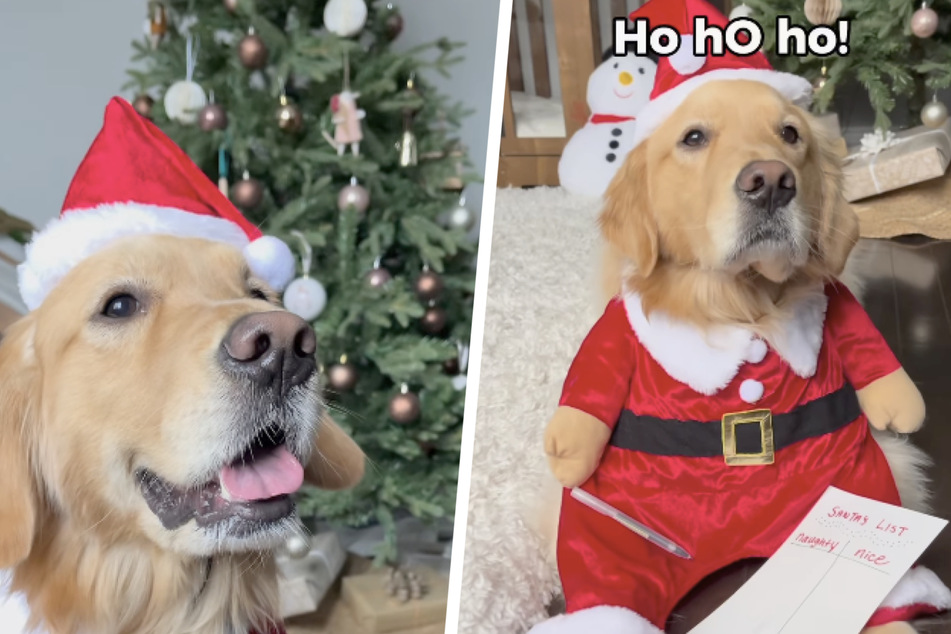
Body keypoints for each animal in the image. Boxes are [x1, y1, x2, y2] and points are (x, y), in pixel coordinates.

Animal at [544, 1, 951, 632]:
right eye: (693, 137)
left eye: (790, 134)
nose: (771, 183)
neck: (742, 304)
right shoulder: (615, 335)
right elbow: (591, 382)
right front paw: (566, 447)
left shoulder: (839, 312)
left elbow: (874, 358)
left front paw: (900, 406)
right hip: (617, 535)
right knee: (610, 584)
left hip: (847, 484)